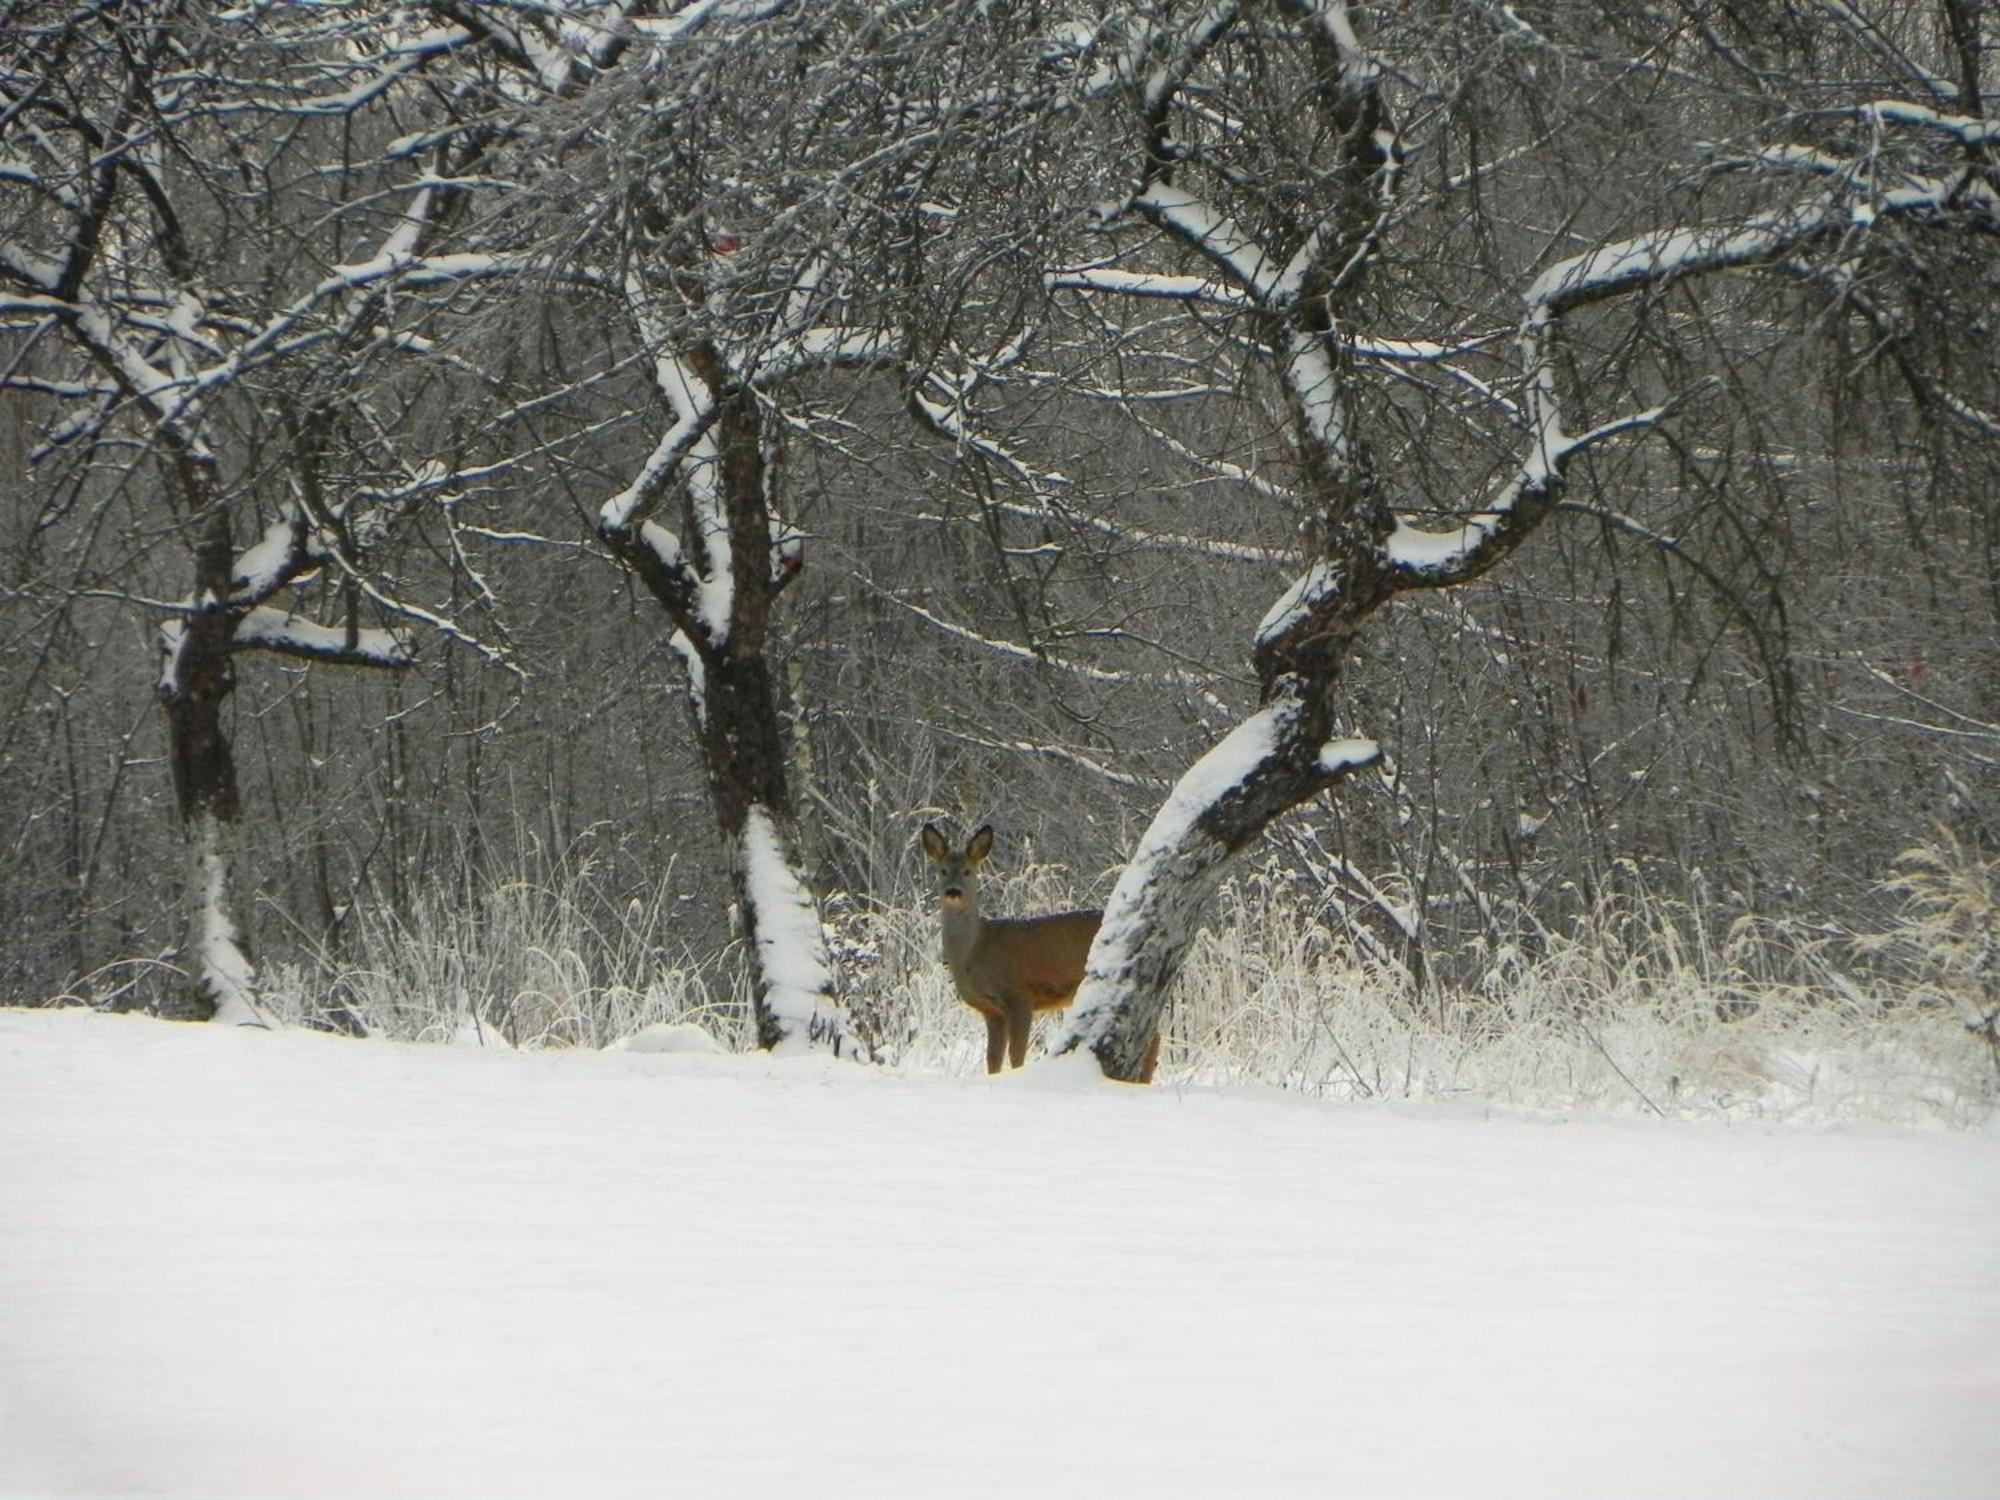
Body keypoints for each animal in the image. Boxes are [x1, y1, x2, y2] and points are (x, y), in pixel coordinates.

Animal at [916, 824, 1160, 1080]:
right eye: (942, 871)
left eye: (967, 871)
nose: (953, 892)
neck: (975, 951)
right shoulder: (991, 1011)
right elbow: (992, 1059)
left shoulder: (1020, 995)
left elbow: (1016, 1056)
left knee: (1153, 1036)